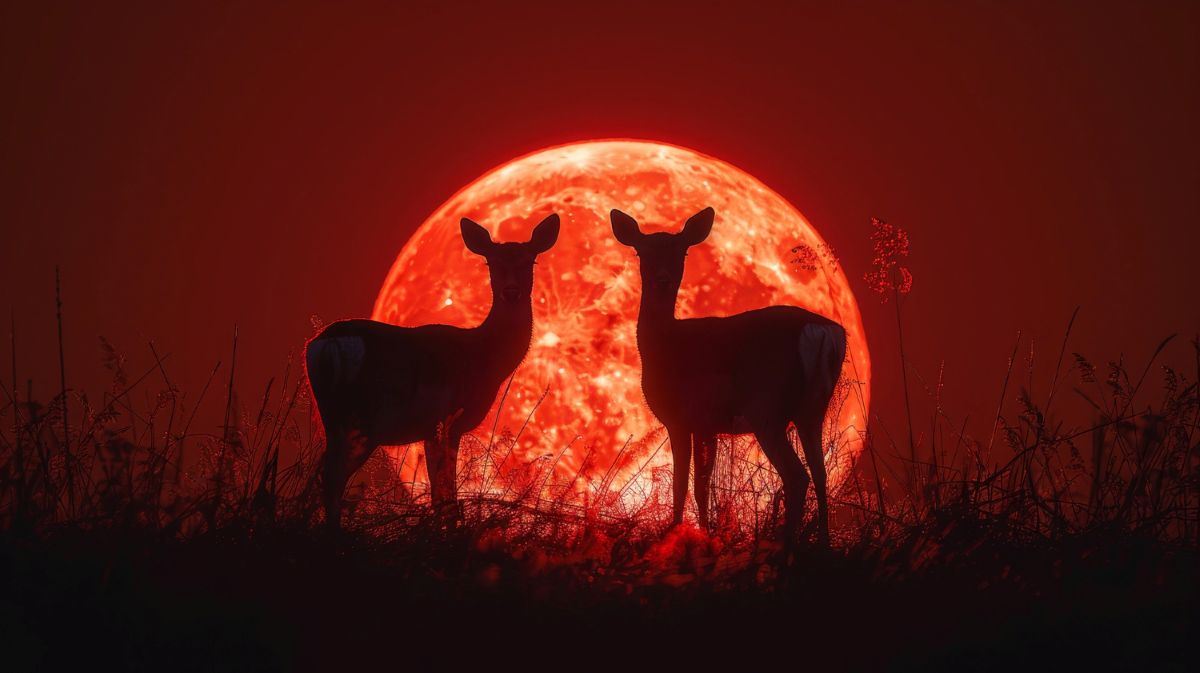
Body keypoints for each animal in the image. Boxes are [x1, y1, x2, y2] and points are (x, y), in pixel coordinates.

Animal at [305, 213, 560, 530]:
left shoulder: (429, 430)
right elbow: (446, 498)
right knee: (332, 476)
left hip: (335, 417)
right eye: (491, 262)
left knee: (320, 475)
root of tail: (325, 345)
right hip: (363, 418)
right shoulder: (448, 420)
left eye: (530, 261)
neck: (483, 355)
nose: (511, 292)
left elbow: (439, 496)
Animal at [611, 206, 846, 546]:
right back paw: (822, 543)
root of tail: (822, 332)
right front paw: (705, 535)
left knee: (797, 476)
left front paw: (673, 533)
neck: (665, 343)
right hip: (813, 409)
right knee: (821, 472)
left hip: (767, 408)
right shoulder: (707, 425)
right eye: (642, 251)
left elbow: (681, 483)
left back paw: (784, 545)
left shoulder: (680, 418)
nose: (662, 280)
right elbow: (702, 486)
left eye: (681, 251)